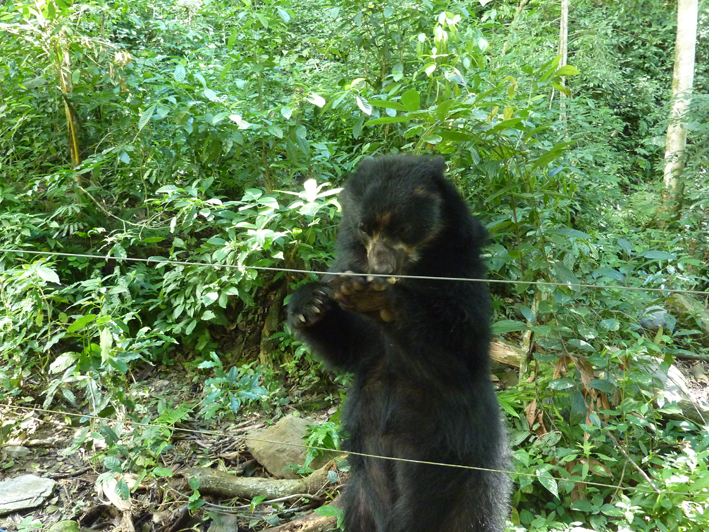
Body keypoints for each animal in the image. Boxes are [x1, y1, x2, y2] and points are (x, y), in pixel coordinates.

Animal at [286, 156, 508, 532]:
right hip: (361, 487)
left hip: (466, 473)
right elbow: (350, 349)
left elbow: (457, 351)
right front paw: (310, 304)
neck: (415, 271)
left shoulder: (461, 279)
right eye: (364, 228)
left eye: (403, 228)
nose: (379, 267)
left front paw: (378, 300)